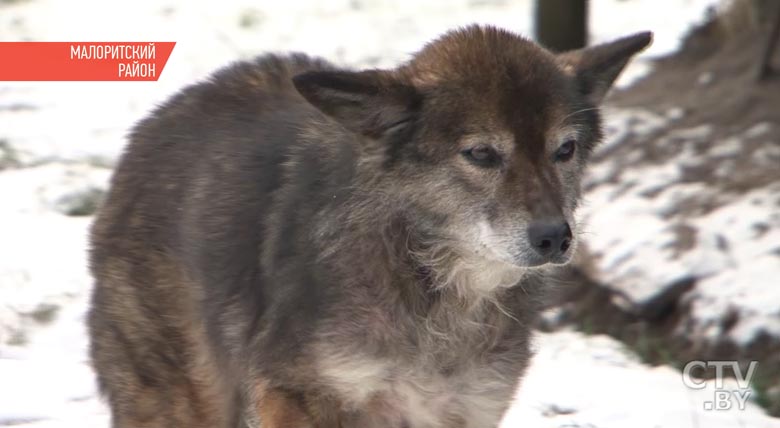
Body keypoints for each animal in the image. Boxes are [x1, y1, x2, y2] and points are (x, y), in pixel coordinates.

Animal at [87, 25, 652, 426]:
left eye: (565, 149)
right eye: (481, 154)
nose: (554, 236)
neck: (436, 287)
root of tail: (152, 128)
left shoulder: (463, 410)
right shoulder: (297, 394)